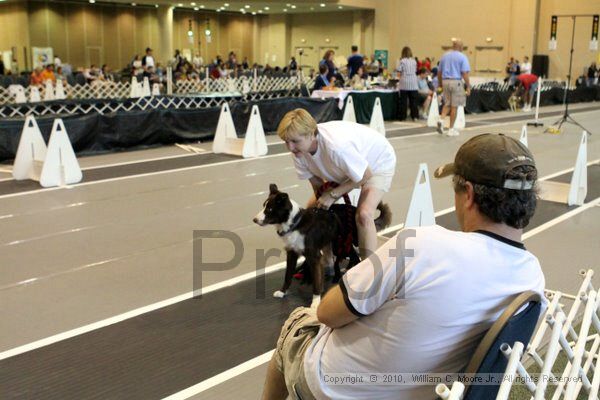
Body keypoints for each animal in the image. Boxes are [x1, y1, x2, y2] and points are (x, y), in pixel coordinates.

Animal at [254, 183, 392, 308]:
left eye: (269, 209)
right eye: (263, 206)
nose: (254, 220)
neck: (295, 223)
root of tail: (354, 209)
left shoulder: (314, 256)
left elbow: (316, 282)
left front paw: (315, 303)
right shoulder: (292, 254)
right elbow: (288, 275)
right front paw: (282, 292)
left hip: (353, 239)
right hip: (340, 242)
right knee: (354, 256)